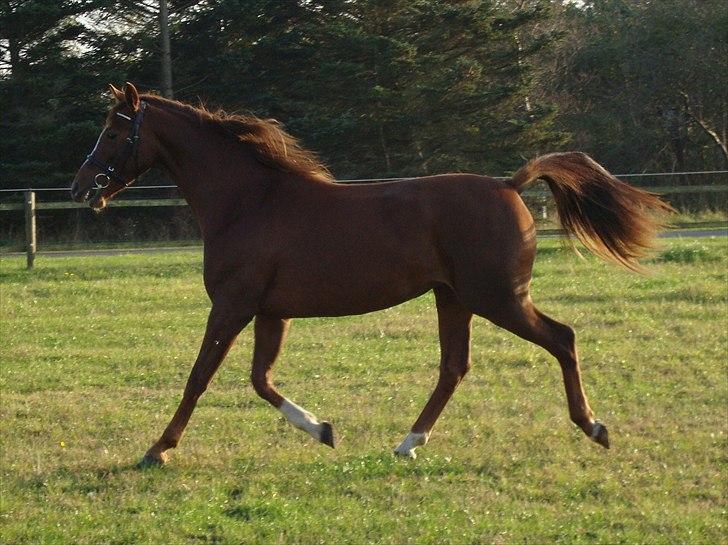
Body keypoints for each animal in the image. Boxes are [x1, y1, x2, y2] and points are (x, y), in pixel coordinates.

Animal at [71, 83, 668, 466]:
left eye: (112, 133)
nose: (80, 188)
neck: (249, 201)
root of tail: (510, 185)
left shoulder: (233, 305)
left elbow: (200, 377)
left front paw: (156, 451)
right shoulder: (270, 312)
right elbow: (260, 380)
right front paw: (324, 431)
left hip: (497, 297)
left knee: (561, 339)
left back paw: (594, 427)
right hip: (454, 298)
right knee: (454, 367)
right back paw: (408, 443)